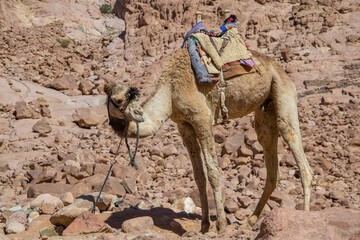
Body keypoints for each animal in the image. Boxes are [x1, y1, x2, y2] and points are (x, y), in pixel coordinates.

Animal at [104, 47, 312, 233]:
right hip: (265, 109)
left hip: (283, 91)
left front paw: (220, 226)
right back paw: (249, 222)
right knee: (271, 165)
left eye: (129, 96)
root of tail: (281, 69)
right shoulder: (184, 125)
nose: (138, 113)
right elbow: (199, 176)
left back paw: (304, 216)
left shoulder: (201, 118)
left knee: (297, 151)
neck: (170, 92)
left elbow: (213, 171)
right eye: (119, 99)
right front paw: (204, 225)